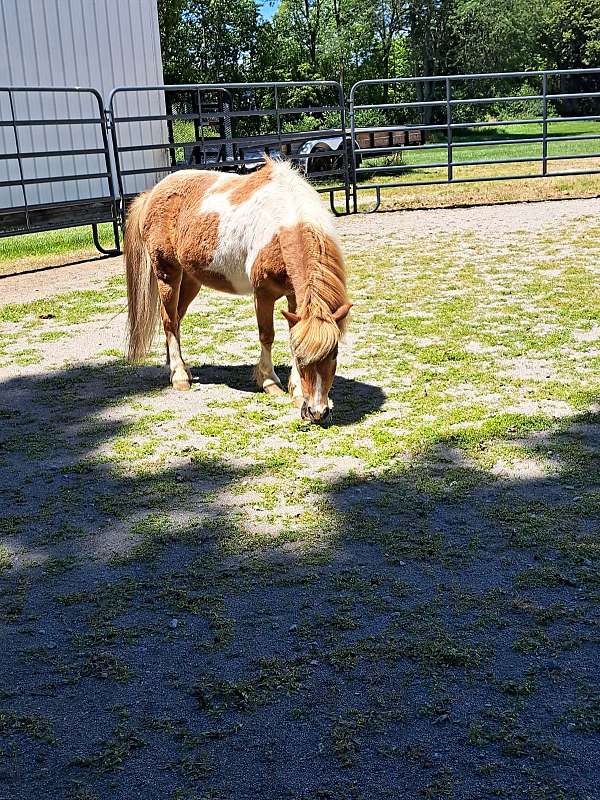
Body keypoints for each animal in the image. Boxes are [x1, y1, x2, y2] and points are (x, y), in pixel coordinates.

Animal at [125, 153, 352, 422]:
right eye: (300, 359)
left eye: (334, 354)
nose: (317, 413)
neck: (284, 220)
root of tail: (152, 193)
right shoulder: (263, 294)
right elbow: (267, 335)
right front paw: (269, 381)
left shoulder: (294, 297)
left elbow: (292, 335)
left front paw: (296, 390)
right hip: (167, 273)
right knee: (169, 320)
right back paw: (179, 376)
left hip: (190, 280)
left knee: (176, 320)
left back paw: (176, 366)